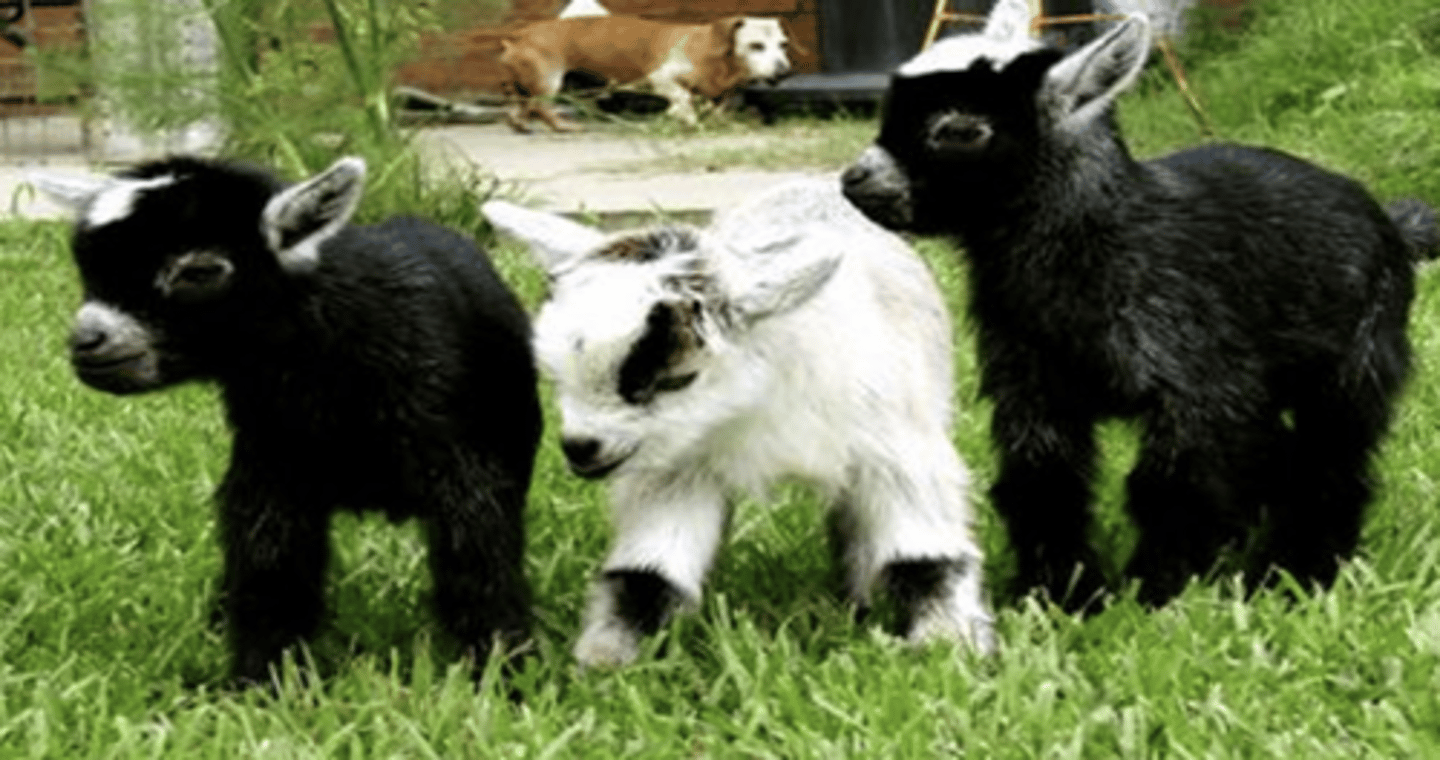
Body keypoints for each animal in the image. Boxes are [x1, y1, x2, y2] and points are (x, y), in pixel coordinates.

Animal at [32, 156, 543, 685]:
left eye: (199, 271)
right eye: (84, 264)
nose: (87, 341)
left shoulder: (463, 470)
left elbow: (477, 568)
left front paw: (506, 672)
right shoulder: (273, 467)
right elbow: (270, 567)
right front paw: (258, 681)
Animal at [483, 180, 993, 666]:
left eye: (677, 379)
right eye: (556, 376)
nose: (580, 447)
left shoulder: (896, 447)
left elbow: (925, 558)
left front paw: (947, 647)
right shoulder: (680, 468)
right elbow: (648, 573)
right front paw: (606, 662)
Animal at [842, 0, 1438, 609]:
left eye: (960, 130)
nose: (855, 179)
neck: (1099, 248)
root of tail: (1395, 224)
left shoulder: (1195, 376)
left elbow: (1172, 484)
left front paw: (1157, 592)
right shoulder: (1032, 380)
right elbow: (1043, 478)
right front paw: (1061, 594)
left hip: (1360, 355)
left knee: (1331, 462)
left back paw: (1297, 574)